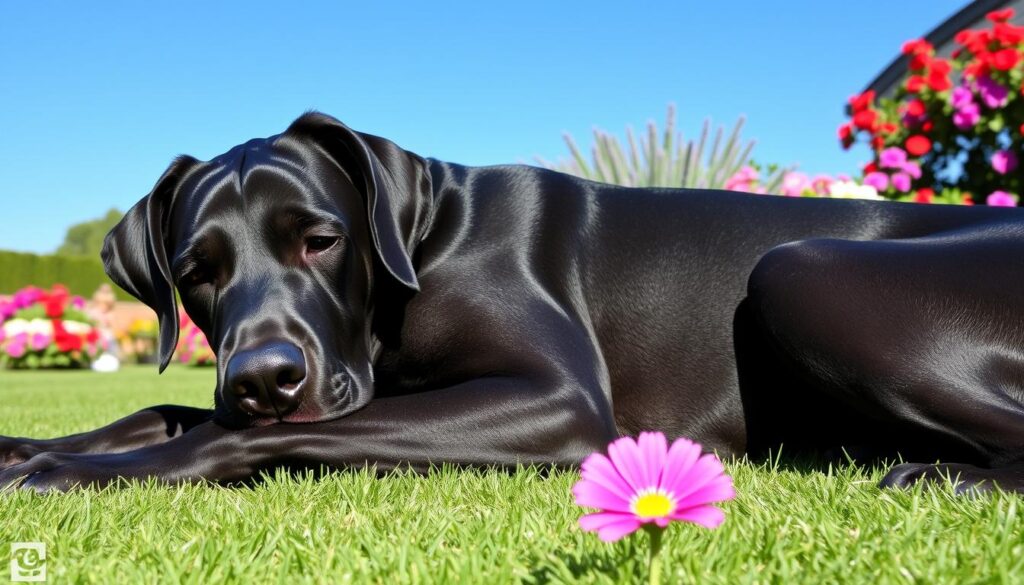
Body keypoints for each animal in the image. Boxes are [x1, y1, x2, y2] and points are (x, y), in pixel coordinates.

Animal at [2, 111, 1024, 493]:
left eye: (320, 239)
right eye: (197, 271)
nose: (262, 377)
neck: (421, 237)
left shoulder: (556, 400)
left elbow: (238, 431)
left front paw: (70, 468)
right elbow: (168, 406)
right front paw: (31, 443)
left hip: (799, 267)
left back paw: (951, 474)